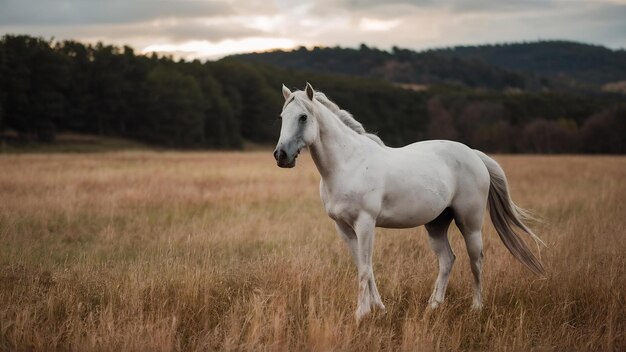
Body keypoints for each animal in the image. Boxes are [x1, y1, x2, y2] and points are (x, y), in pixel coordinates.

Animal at [272, 82, 540, 322]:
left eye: (303, 117)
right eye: (282, 116)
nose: (281, 156)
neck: (348, 163)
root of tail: (474, 154)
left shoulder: (365, 224)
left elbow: (365, 268)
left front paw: (361, 314)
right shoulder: (344, 228)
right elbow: (364, 267)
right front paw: (379, 309)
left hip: (470, 224)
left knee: (476, 260)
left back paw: (476, 307)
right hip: (436, 224)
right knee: (447, 260)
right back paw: (433, 306)